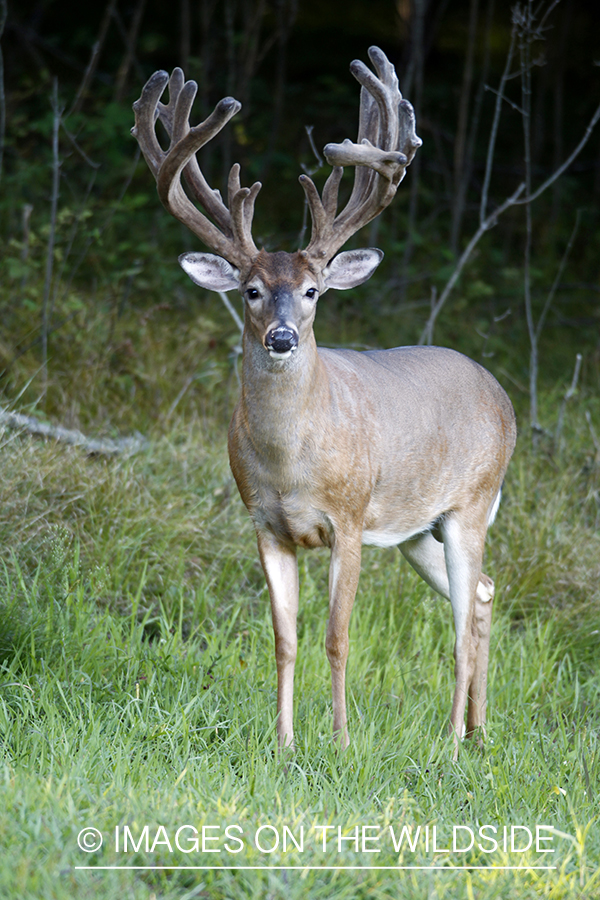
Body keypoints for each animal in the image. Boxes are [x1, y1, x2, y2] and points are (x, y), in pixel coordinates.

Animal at [132, 45, 516, 756]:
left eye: (313, 291)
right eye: (252, 290)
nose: (282, 337)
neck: (292, 463)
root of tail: (499, 392)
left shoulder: (351, 516)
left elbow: (338, 638)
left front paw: (339, 741)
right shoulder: (264, 523)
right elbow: (284, 639)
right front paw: (283, 743)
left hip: (469, 504)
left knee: (459, 615)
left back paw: (452, 737)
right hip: (418, 527)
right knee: (480, 593)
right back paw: (479, 730)